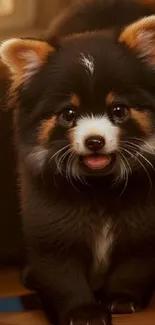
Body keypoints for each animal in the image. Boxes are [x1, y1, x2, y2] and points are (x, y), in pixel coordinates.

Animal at [1, 0, 155, 324]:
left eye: (119, 110)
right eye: (69, 114)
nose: (94, 141)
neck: (99, 184)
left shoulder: (144, 207)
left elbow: (137, 253)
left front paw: (122, 297)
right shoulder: (44, 204)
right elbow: (58, 261)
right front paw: (81, 309)